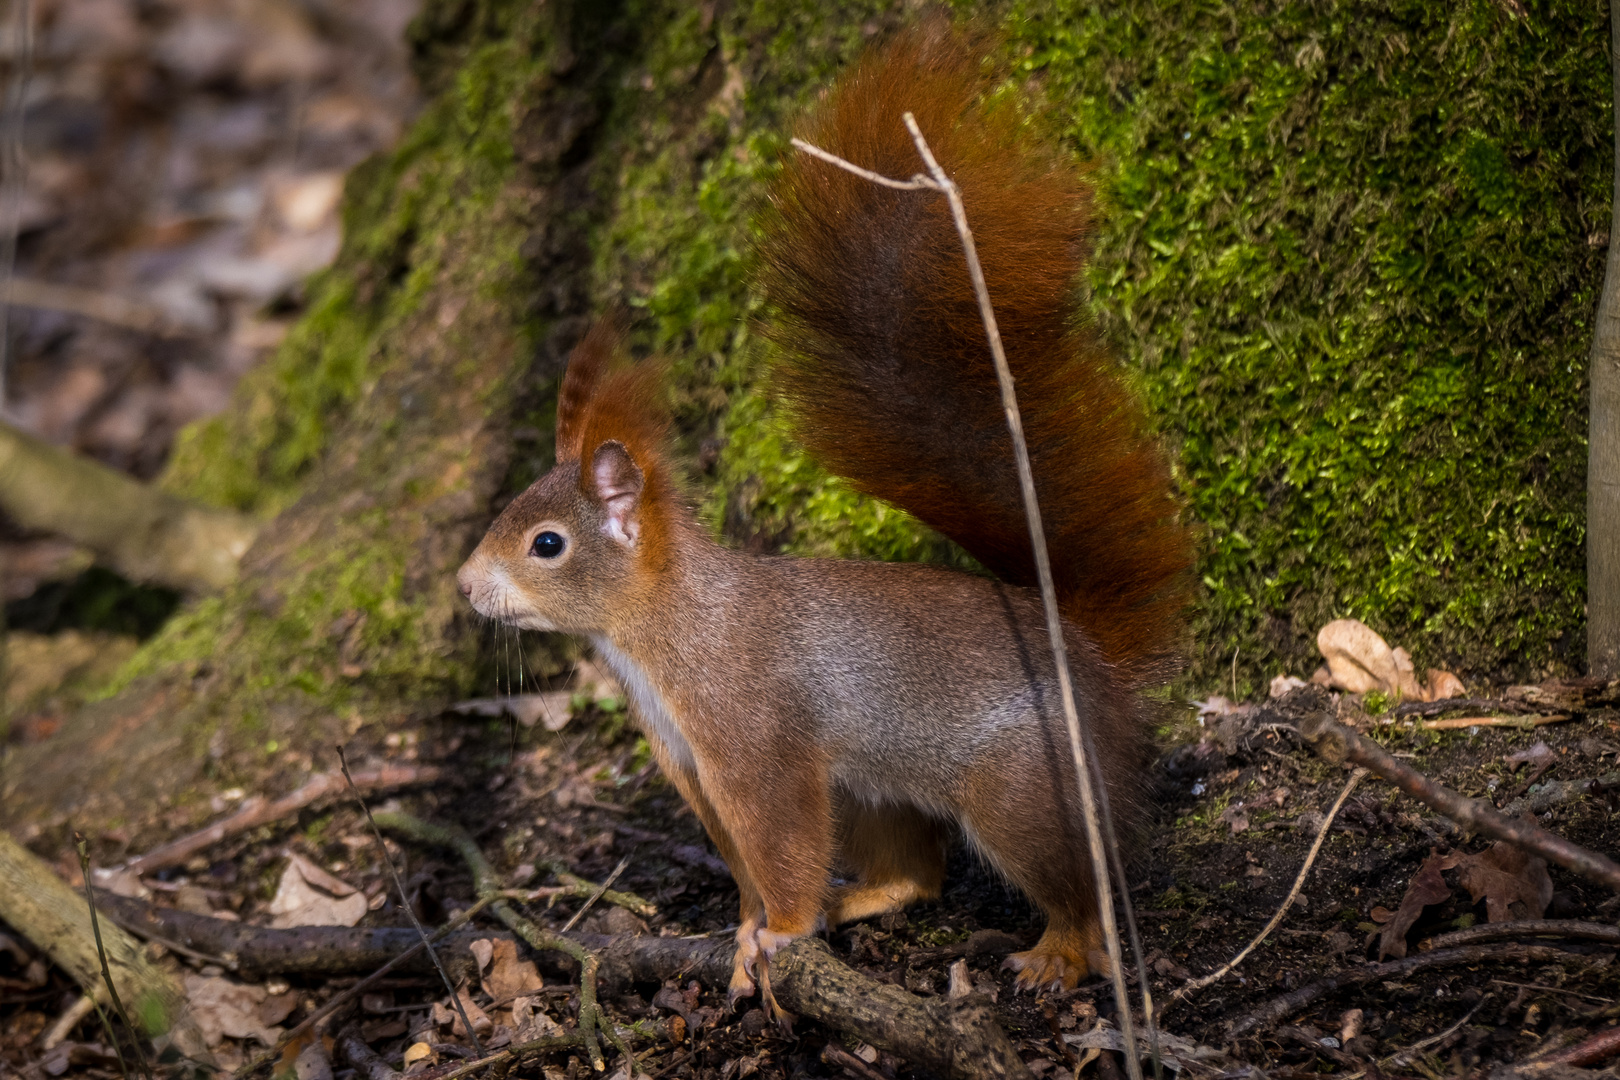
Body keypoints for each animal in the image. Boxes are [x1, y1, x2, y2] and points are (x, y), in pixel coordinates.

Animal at [456, 23, 1192, 1003]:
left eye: (546, 543)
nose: (464, 587)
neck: (660, 631)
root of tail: (1093, 657)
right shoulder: (690, 767)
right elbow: (746, 865)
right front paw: (745, 934)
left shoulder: (753, 741)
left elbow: (782, 844)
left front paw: (784, 930)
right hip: (876, 788)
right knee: (916, 876)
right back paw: (866, 900)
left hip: (1021, 788)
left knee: (1086, 889)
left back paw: (1058, 953)